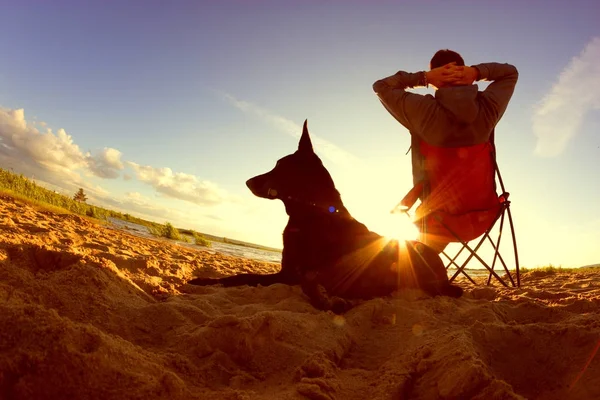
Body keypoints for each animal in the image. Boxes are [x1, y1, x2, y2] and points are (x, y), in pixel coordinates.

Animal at [190, 120, 462, 314]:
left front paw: (331, 301)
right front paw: (203, 281)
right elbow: (244, 275)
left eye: (279, 167)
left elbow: (308, 284)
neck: (311, 214)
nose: (248, 182)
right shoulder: (288, 273)